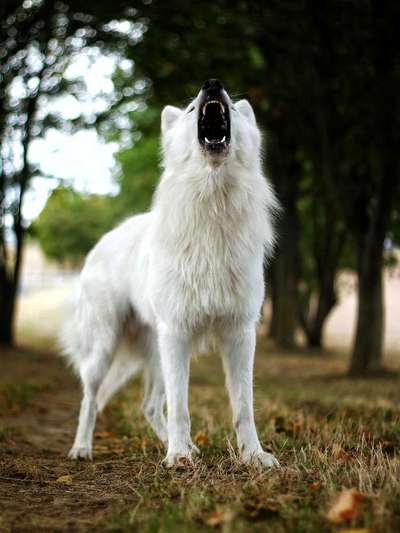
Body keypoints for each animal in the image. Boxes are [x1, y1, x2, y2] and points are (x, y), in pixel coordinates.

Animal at [61, 78, 282, 466]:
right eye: (193, 108)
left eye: (232, 108)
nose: (213, 84)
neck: (213, 202)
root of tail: (103, 241)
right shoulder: (178, 333)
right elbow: (181, 406)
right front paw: (178, 457)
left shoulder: (240, 334)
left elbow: (244, 407)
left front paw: (254, 457)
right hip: (107, 347)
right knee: (90, 399)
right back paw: (82, 448)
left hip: (158, 351)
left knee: (149, 406)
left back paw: (186, 446)